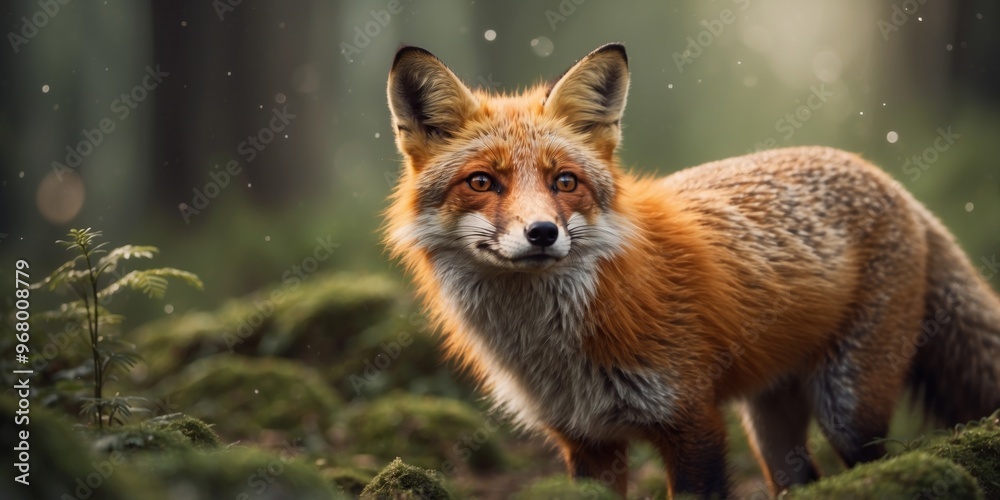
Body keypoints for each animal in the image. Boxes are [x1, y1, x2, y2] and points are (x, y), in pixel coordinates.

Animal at [383, 43, 1000, 498]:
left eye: (565, 181)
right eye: (482, 181)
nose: (542, 233)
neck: (556, 349)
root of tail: (892, 182)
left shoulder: (693, 421)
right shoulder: (587, 443)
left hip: (849, 406)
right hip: (772, 424)